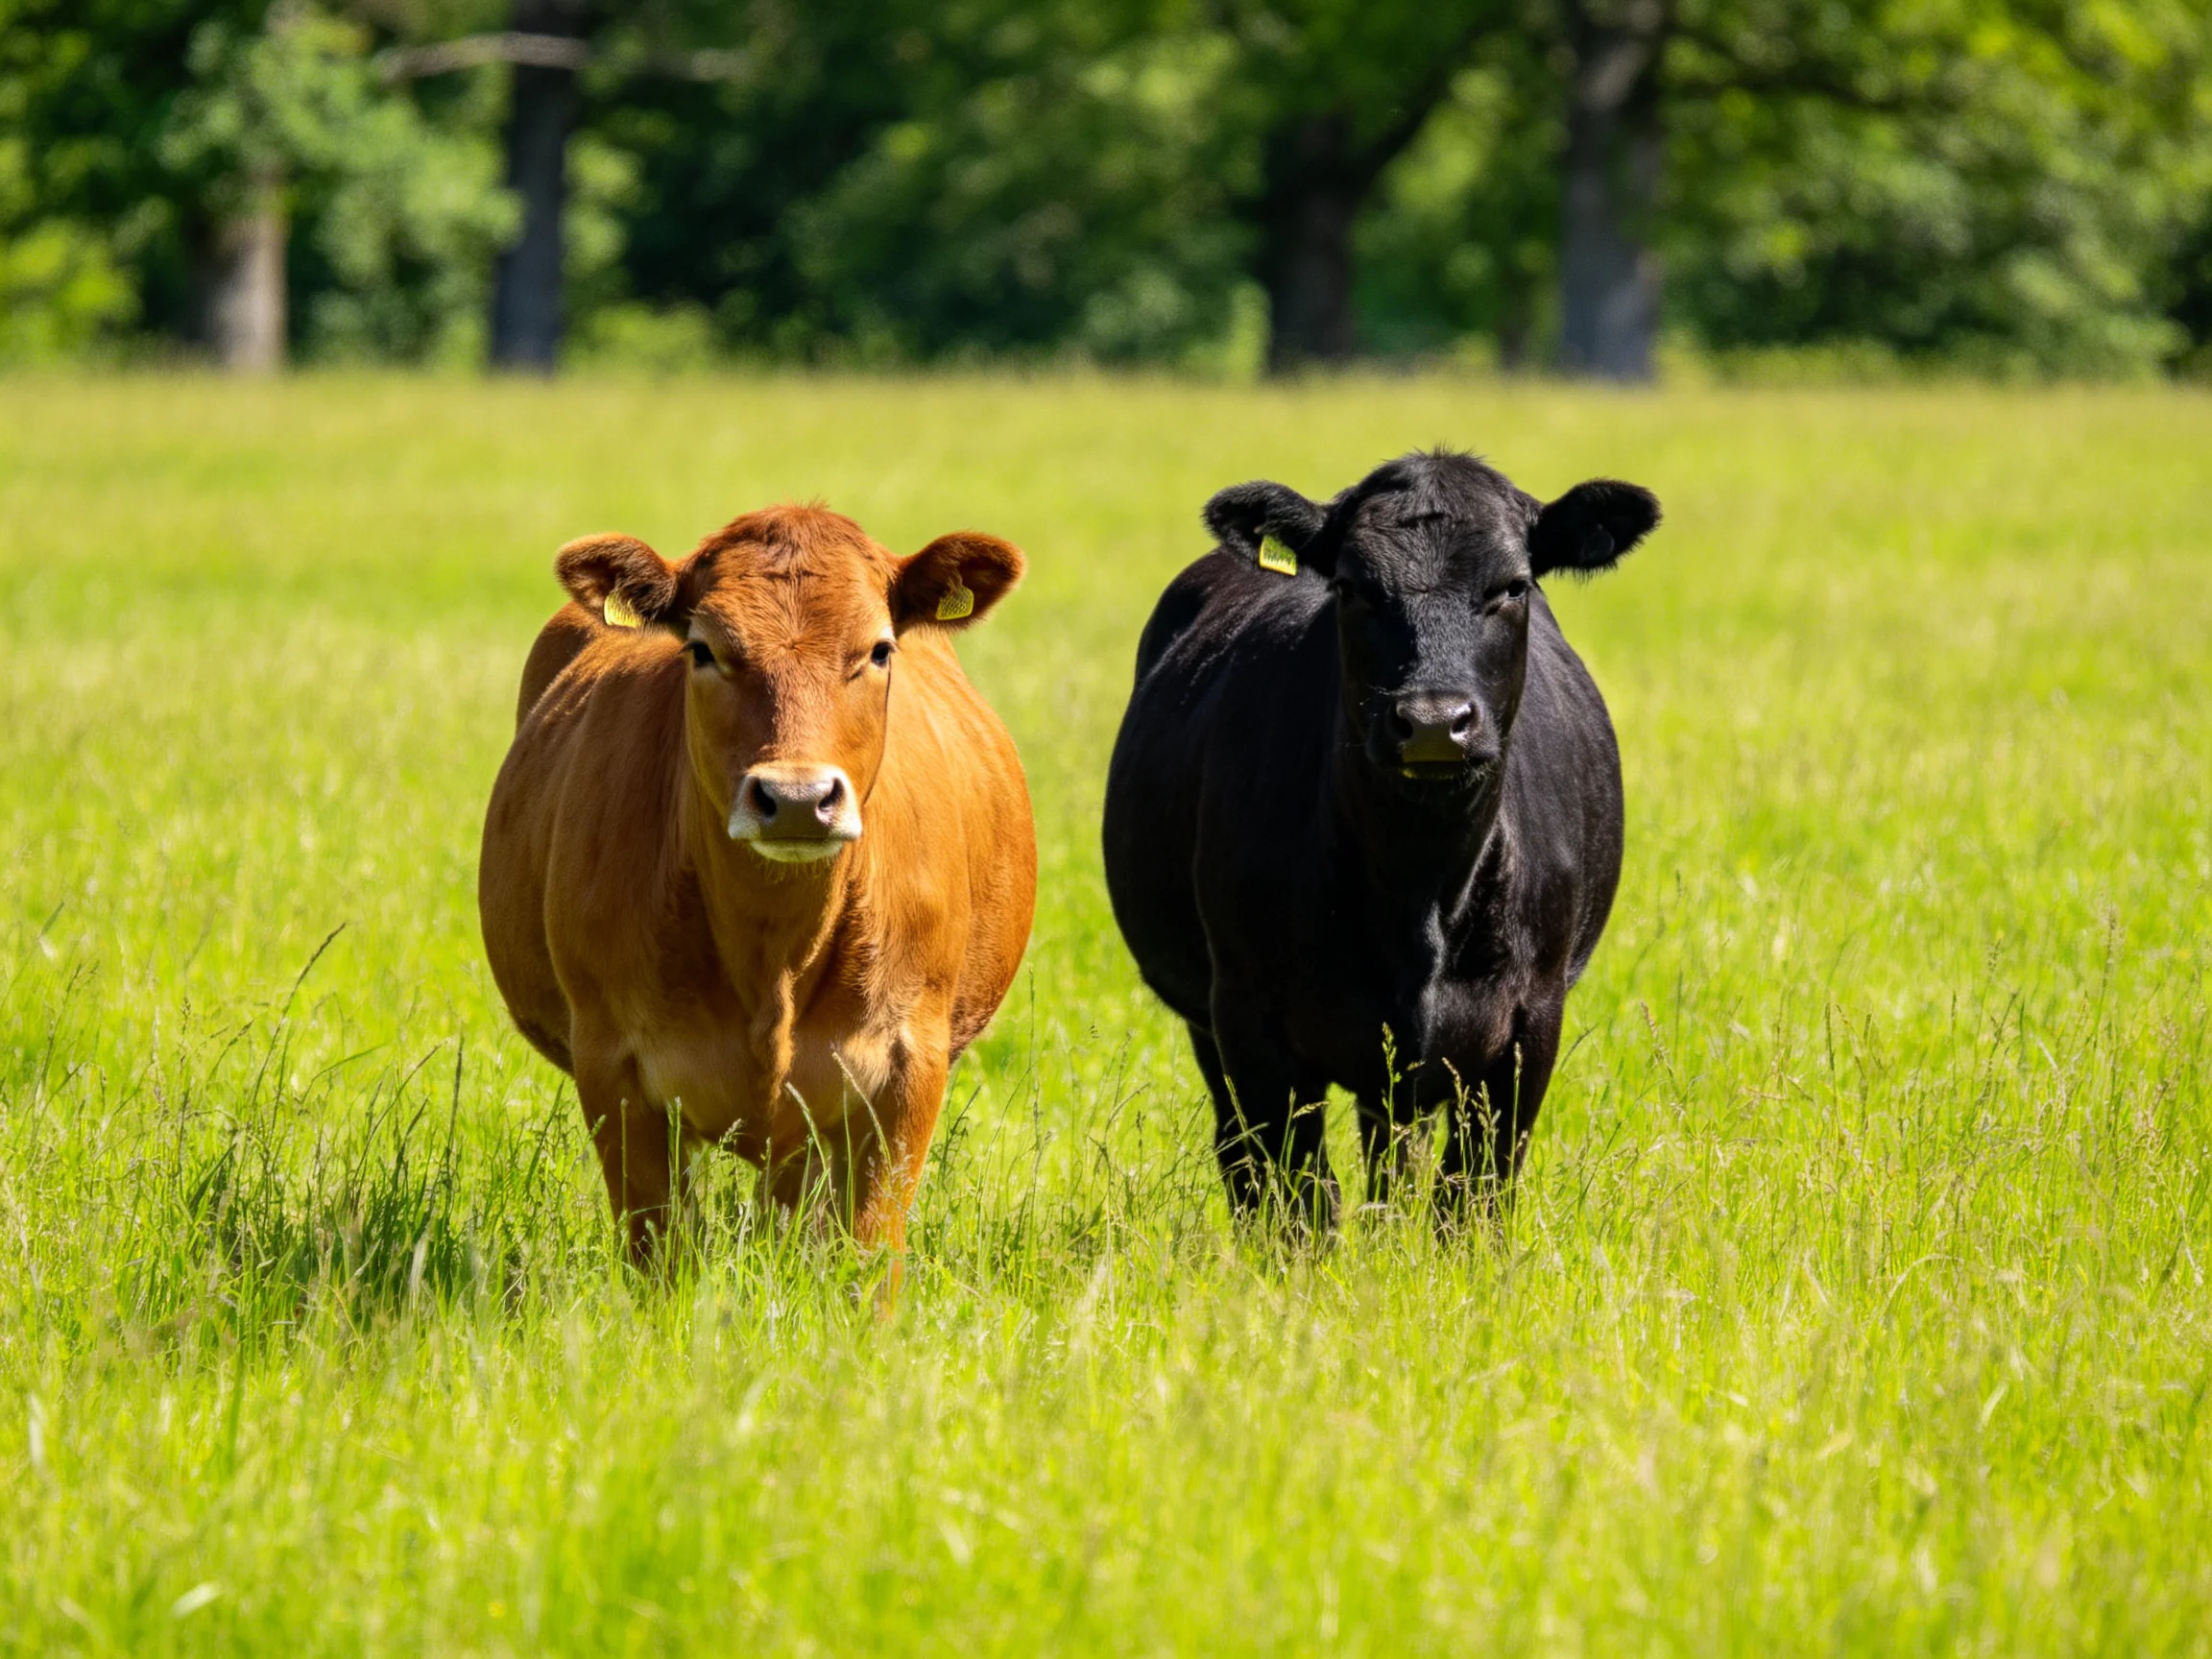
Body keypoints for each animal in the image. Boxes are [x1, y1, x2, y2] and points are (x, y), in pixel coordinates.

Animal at [479, 505, 1036, 1265]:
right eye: (704, 650)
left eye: (879, 650)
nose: (797, 798)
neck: (773, 954)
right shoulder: (612, 1067)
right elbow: (661, 1253)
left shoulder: (908, 1065)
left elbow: (868, 1255)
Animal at [1101, 450, 1659, 1230]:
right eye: (1353, 587)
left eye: (1511, 587)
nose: (1433, 722)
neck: (1417, 888)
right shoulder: (1249, 1018)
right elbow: (1300, 1200)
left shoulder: (1528, 1021)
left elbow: (1472, 1195)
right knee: (1241, 1153)